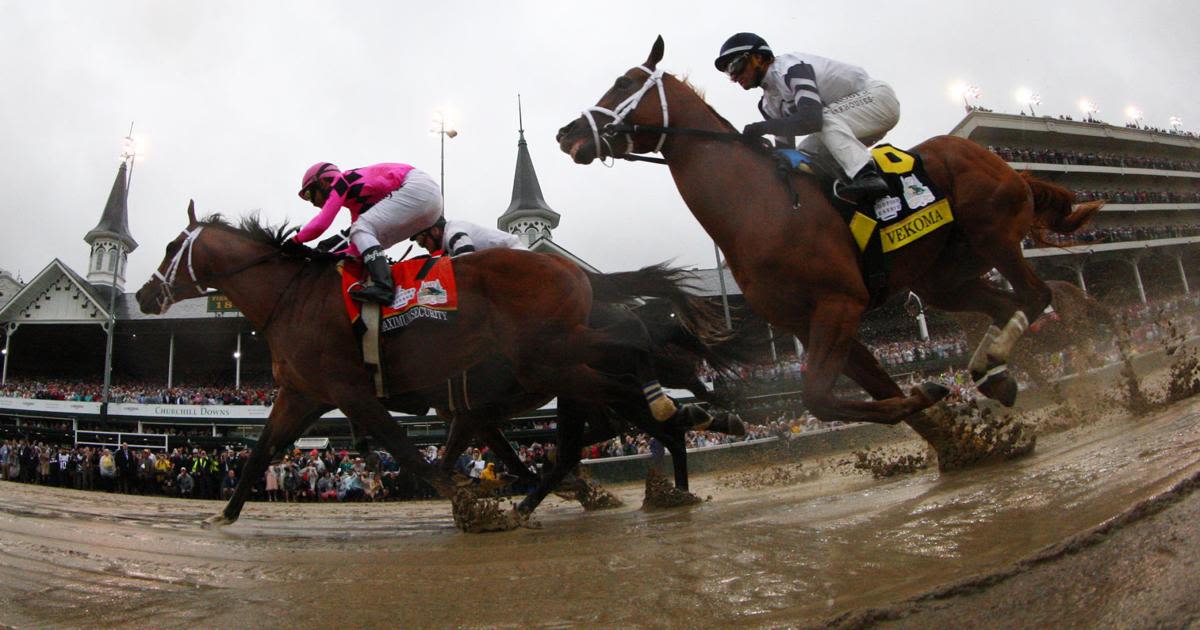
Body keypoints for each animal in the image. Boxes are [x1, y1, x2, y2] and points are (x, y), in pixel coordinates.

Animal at [138, 202, 667, 525]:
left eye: (170, 248)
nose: (144, 295)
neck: (292, 299)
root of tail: (572, 271)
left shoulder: (353, 392)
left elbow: (412, 453)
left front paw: (473, 506)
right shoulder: (303, 394)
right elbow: (261, 451)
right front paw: (224, 513)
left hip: (549, 358)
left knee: (616, 384)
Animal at [549, 34, 1099, 427]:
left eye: (624, 83)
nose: (566, 134)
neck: (761, 207)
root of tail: (999, 161)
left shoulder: (839, 303)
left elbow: (817, 397)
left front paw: (930, 398)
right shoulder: (805, 321)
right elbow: (871, 390)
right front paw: (933, 413)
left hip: (995, 236)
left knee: (1036, 294)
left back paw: (995, 362)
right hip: (944, 277)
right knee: (1006, 305)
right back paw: (991, 374)